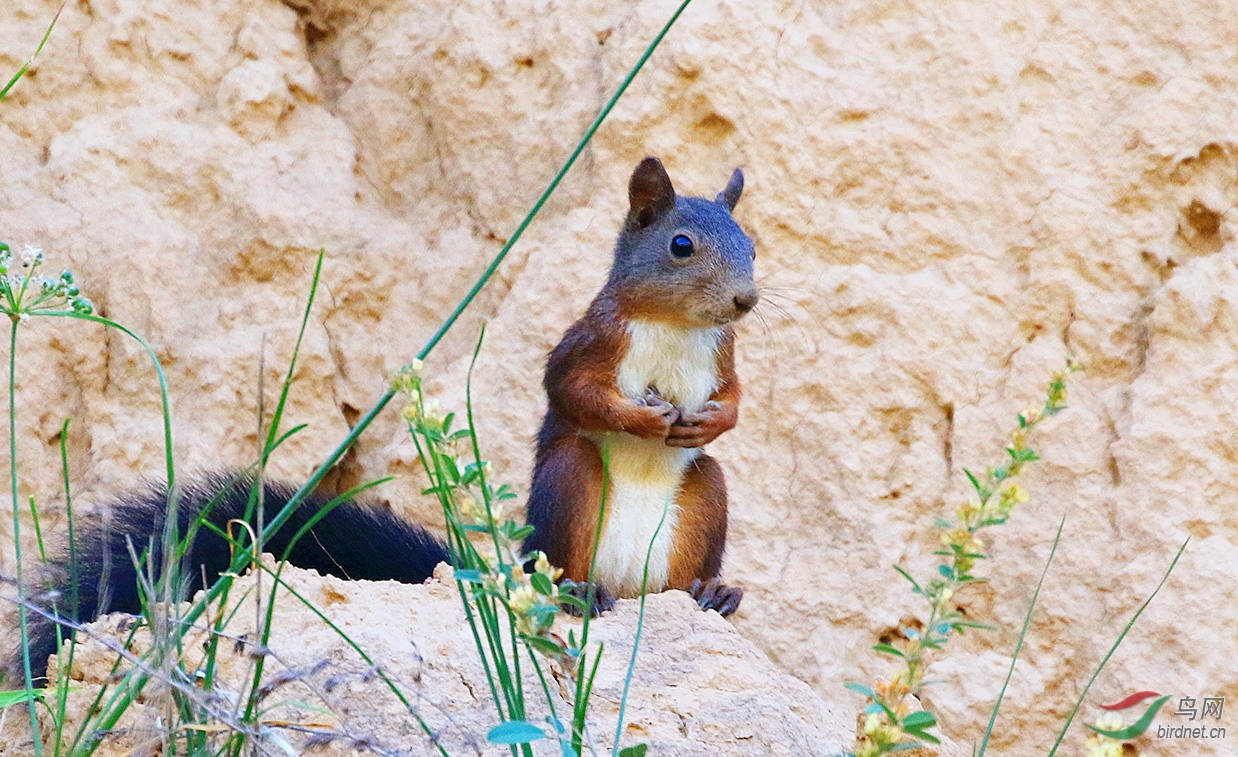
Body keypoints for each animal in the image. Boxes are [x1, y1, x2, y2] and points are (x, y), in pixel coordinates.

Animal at [9, 156, 752, 683]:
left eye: (751, 244)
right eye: (681, 244)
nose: (746, 299)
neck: (676, 327)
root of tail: (628, 585)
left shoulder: (725, 355)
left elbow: (736, 398)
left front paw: (709, 421)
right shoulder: (589, 340)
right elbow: (571, 391)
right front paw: (645, 418)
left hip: (703, 500)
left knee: (695, 526)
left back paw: (709, 592)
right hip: (568, 492)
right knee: (564, 545)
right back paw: (579, 592)